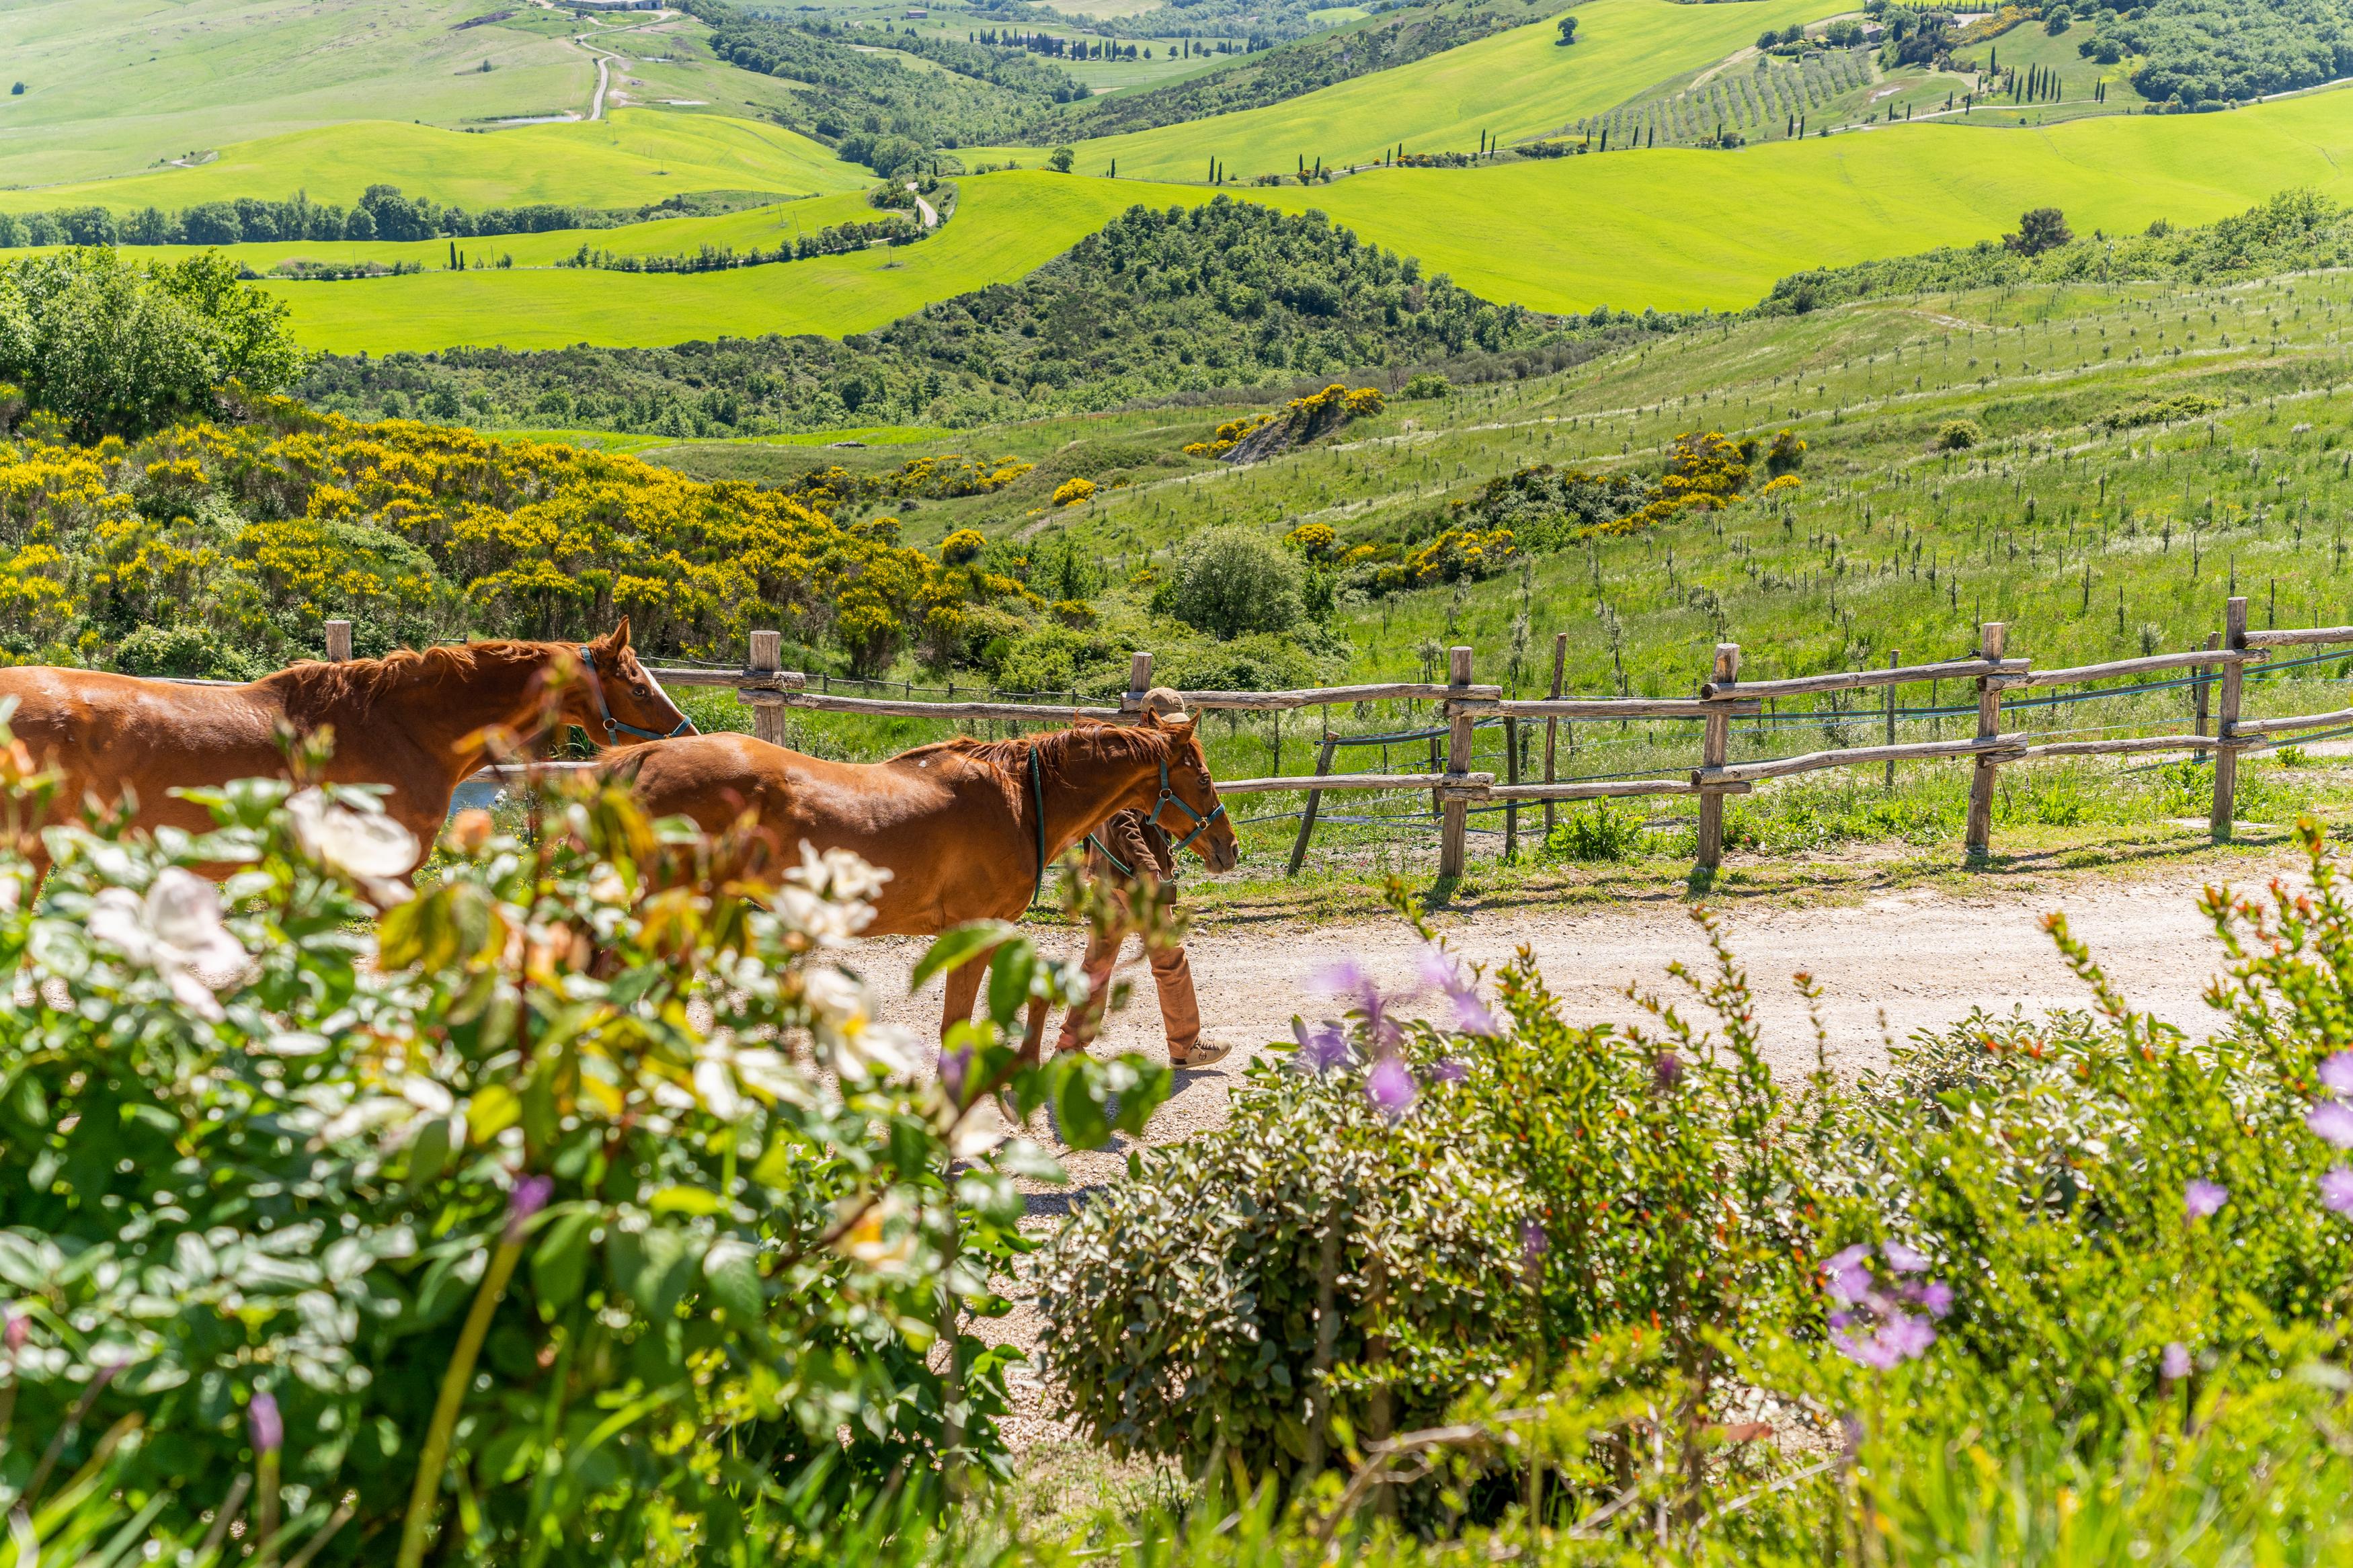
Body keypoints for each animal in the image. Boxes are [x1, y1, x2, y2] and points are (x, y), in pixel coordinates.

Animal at [607, 710, 1242, 1053]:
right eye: (1204, 778)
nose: (1230, 848)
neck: (1020, 799)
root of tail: (647, 758)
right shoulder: (974, 929)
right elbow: (955, 1025)